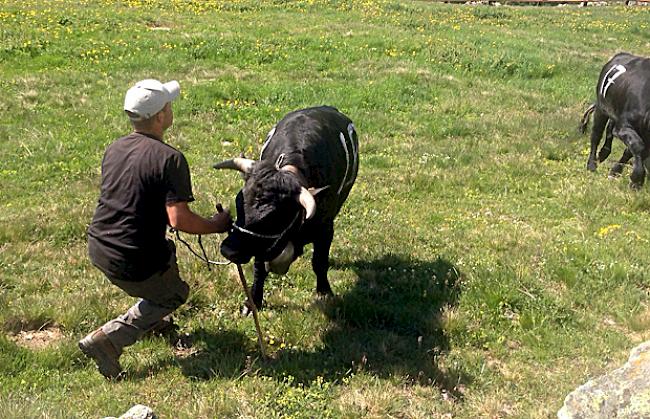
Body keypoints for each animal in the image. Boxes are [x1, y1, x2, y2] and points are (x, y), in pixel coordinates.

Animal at [213, 106, 356, 314]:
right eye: (239, 202)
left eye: (273, 217)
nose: (228, 250)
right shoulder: (261, 244)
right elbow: (259, 268)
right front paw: (252, 302)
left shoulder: (326, 228)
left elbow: (320, 262)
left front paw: (324, 292)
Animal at [580, 52, 648, 187]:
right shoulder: (623, 125)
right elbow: (638, 146)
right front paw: (637, 179)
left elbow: (632, 151)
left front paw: (616, 171)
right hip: (601, 108)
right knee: (596, 135)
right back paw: (591, 165)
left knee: (608, 131)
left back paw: (603, 154)